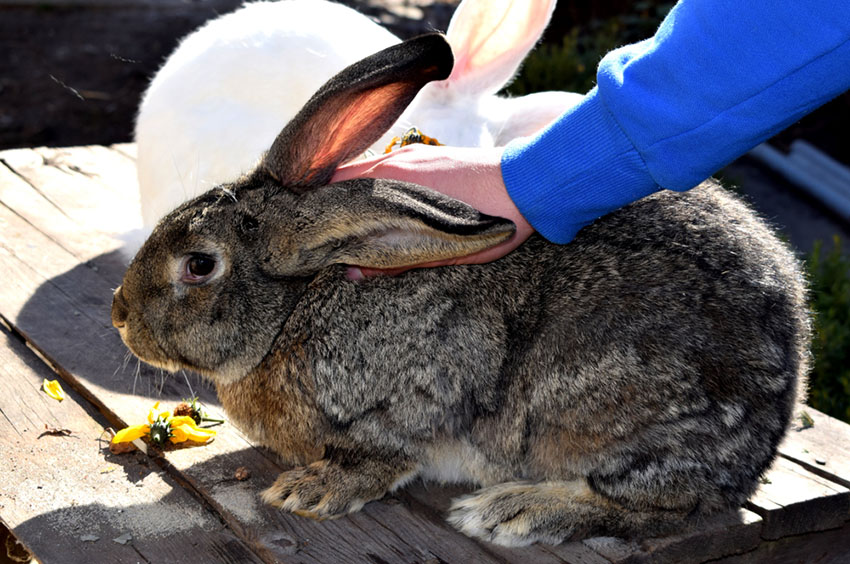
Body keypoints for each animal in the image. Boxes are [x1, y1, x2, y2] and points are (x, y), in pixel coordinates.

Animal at [112, 33, 808, 544]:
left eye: (199, 265)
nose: (119, 314)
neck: (296, 307)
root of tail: (785, 394)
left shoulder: (411, 402)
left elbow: (382, 457)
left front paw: (309, 491)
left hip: (607, 413)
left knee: (664, 507)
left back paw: (515, 511)